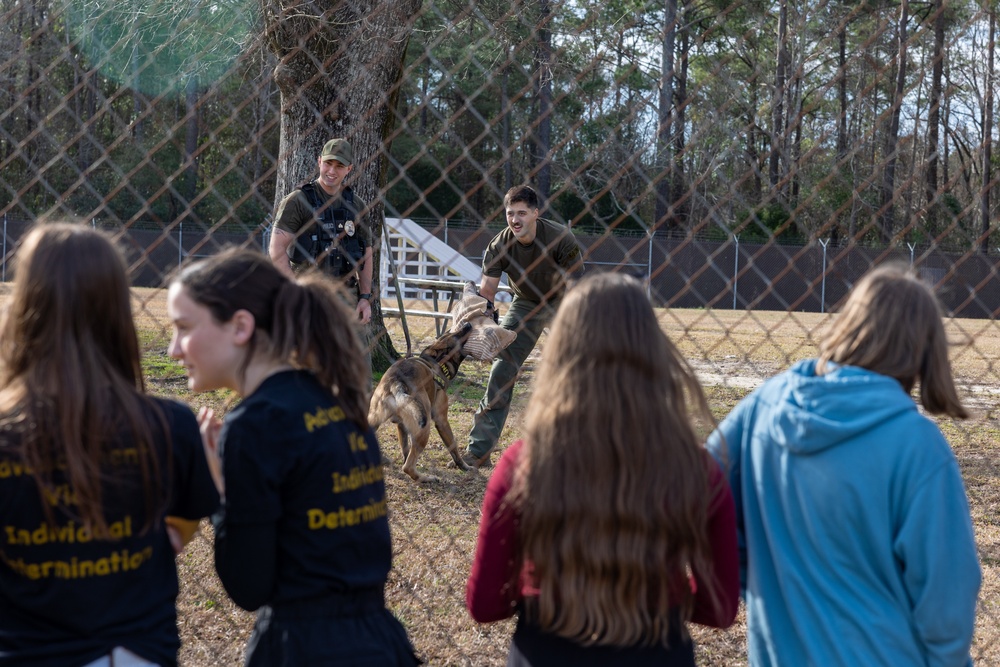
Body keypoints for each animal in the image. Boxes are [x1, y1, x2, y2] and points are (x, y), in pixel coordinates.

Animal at [370, 322, 474, 482]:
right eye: (455, 334)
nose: (468, 324)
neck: (437, 363)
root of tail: (396, 382)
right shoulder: (442, 420)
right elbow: (453, 447)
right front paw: (464, 466)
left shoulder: (401, 425)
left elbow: (405, 449)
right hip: (424, 428)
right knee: (408, 467)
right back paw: (426, 478)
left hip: (372, 420)